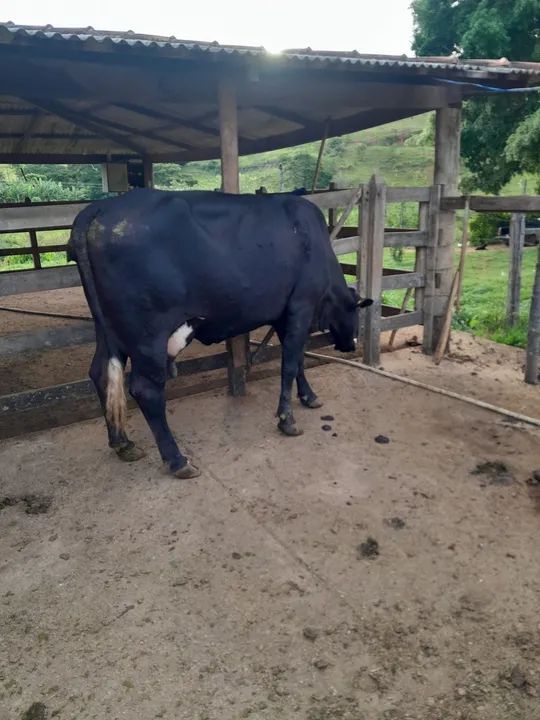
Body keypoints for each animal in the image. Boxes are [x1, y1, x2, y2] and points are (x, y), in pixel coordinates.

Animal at [68, 189, 372, 479]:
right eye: (355, 313)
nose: (350, 345)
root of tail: (100, 208)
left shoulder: (283, 315)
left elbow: (296, 360)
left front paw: (309, 397)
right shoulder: (301, 306)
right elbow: (289, 363)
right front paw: (287, 420)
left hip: (108, 331)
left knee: (100, 373)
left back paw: (123, 443)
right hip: (147, 335)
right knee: (146, 389)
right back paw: (177, 461)